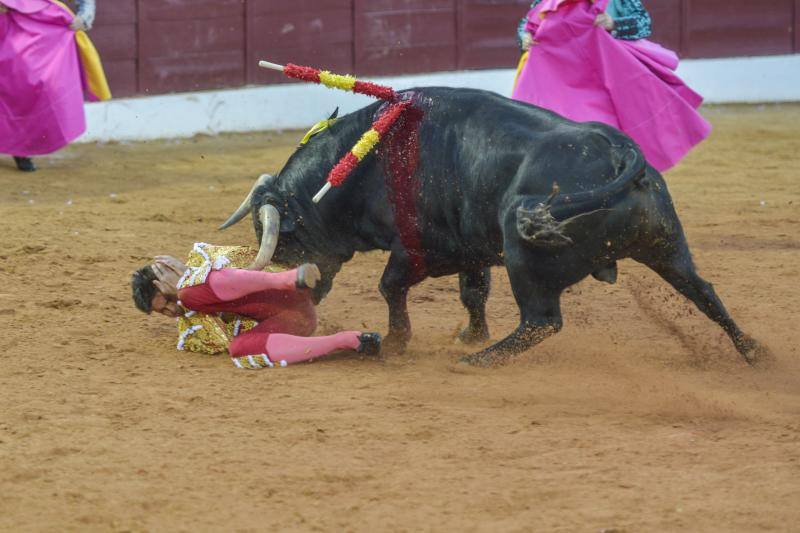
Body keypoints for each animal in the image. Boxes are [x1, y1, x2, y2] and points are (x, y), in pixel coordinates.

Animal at [220, 88, 764, 366]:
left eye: (284, 241)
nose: (302, 295)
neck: (368, 160)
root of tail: (616, 150)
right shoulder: (471, 249)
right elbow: (473, 292)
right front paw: (469, 333)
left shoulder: (422, 248)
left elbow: (391, 285)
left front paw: (398, 342)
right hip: (665, 244)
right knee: (703, 290)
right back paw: (755, 352)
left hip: (527, 259)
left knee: (542, 320)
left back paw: (481, 362)